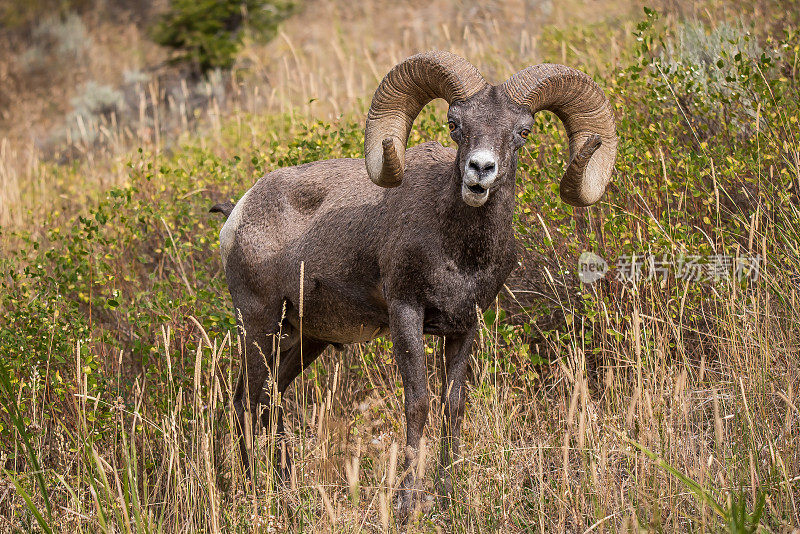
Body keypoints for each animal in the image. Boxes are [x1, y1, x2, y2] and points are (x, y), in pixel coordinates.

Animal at [211, 50, 612, 520]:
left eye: (523, 132)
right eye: (455, 123)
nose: (480, 170)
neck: (458, 254)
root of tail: (238, 212)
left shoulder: (464, 327)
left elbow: (453, 406)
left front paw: (450, 497)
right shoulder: (406, 314)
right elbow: (417, 403)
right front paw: (405, 504)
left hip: (306, 339)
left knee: (270, 399)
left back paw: (284, 488)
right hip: (260, 325)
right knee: (246, 401)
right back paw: (258, 493)